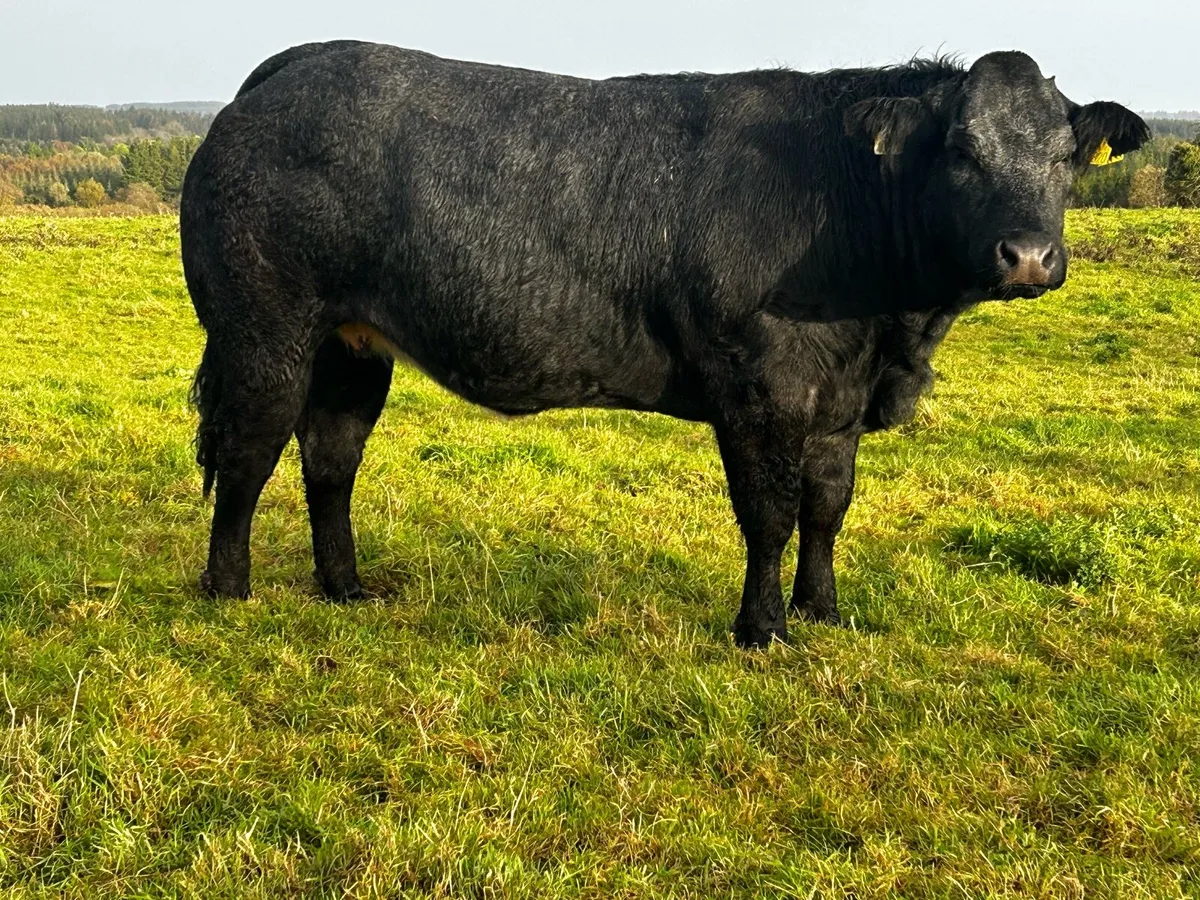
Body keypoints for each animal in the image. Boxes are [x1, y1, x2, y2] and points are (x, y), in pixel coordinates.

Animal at [181, 41, 1148, 648]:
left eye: (1066, 156)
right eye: (959, 150)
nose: (1030, 256)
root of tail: (291, 68)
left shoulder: (837, 403)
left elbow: (827, 508)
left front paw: (824, 611)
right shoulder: (759, 386)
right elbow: (769, 512)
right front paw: (763, 630)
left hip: (352, 346)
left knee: (330, 456)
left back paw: (345, 587)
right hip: (263, 329)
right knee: (250, 451)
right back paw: (229, 591)